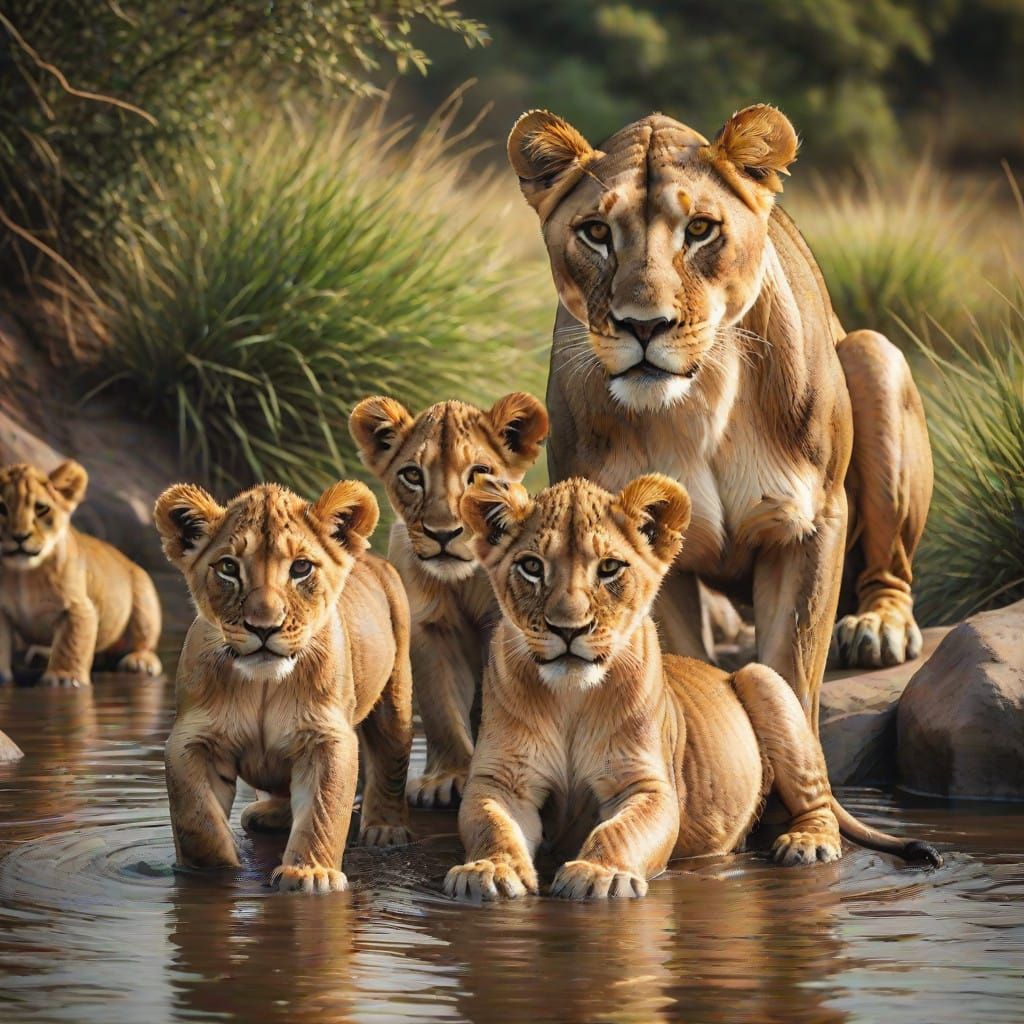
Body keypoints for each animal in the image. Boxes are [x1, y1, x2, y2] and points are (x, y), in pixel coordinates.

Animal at [0, 460, 162, 687]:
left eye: (41, 508)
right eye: (1, 508)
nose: (19, 537)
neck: (22, 576)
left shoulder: (77, 607)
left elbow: (71, 643)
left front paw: (64, 678)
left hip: (143, 595)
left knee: (143, 640)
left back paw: (140, 662)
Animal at [154, 478, 413, 894]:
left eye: (301, 567)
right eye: (228, 567)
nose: (264, 626)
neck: (264, 685)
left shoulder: (328, 736)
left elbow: (323, 811)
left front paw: (310, 874)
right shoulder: (192, 738)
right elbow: (196, 818)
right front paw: (214, 870)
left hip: (396, 690)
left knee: (392, 755)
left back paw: (385, 829)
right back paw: (268, 816)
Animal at [349, 393, 549, 808]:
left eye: (478, 474)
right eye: (412, 475)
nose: (443, 534)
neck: (462, 580)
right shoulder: (429, 629)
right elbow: (441, 707)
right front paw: (447, 777)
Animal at [444, 474, 941, 901]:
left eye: (609, 568)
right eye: (531, 567)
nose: (569, 629)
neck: (571, 699)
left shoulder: (648, 785)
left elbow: (620, 830)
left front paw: (599, 875)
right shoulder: (502, 782)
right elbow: (493, 825)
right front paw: (488, 871)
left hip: (762, 679)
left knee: (817, 803)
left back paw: (805, 842)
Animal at [507, 104, 934, 728]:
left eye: (700, 229)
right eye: (596, 233)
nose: (644, 325)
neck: (699, 402)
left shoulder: (811, 522)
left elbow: (790, 672)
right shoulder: (643, 554)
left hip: (873, 353)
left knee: (891, 569)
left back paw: (878, 628)